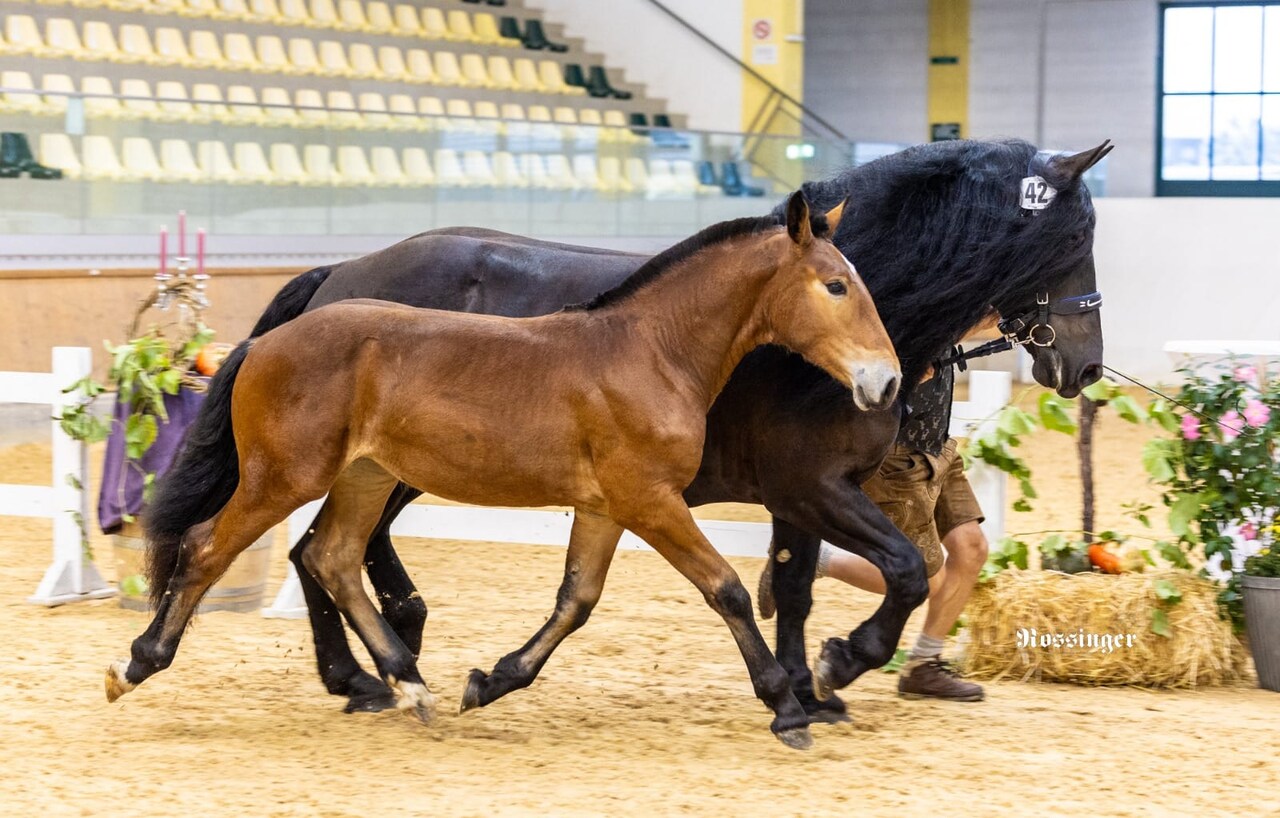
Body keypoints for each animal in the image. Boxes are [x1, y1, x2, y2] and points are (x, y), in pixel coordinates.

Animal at [110, 194, 901, 752]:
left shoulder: (606, 507)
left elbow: (576, 600)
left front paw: (488, 681)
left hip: (365, 478)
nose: (885, 382)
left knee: (330, 557)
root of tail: (265, 342)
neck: (649, 350)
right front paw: (788, 706)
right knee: (208, 548)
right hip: (285, 477)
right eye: (835, 286)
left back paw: (406, 684)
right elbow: (728, 589)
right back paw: (139, 663)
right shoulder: (650, 500)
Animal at [241, 139, 1111, 721]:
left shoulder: (797, 496)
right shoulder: (810, 485)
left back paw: (388, 659)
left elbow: (797, 586)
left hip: (394, 467)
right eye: (1076, 239)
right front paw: (837, 667)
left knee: (335, 548)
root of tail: (342, 274)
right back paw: (364, 674)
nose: (1087, 365)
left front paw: (806, 688)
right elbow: (901, 569)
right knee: (319, 548)